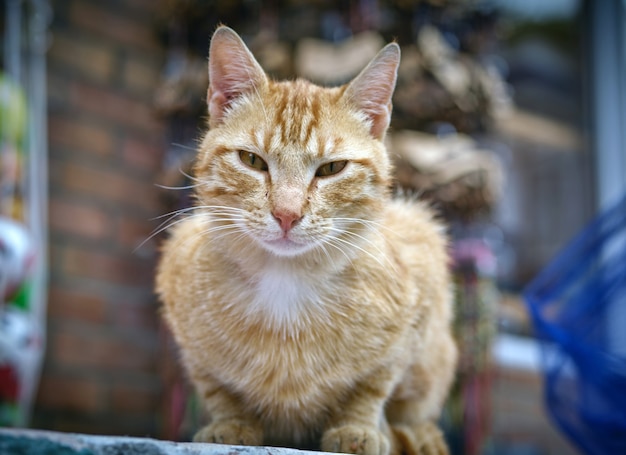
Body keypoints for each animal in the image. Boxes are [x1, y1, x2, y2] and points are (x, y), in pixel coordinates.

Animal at [157, 25, 454, 455]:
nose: (287, 214)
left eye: (332, 169)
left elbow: (373, 386)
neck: (286, 280)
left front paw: (358, 429)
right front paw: (230, 424)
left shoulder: (419, 285)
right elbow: (216, 387)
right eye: (252, 161)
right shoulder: (184, 320)